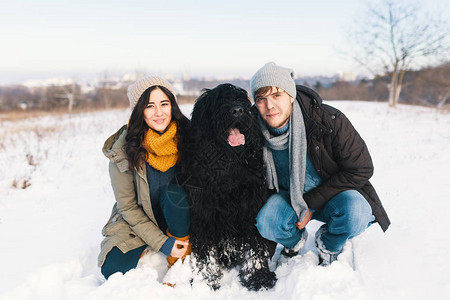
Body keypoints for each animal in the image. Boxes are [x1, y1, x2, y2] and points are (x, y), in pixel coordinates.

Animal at [179, 83, 278, 290]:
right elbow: (205, 253)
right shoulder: (203, 214)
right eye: (220, 101)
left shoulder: (249, 210)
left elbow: (255, 245)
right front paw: (205, 281)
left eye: (241, 100)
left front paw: (258, 276)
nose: (238, 110)